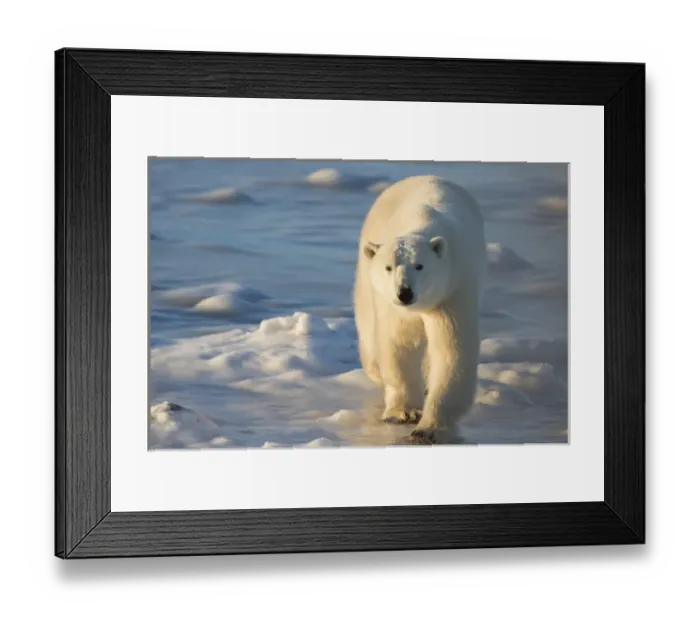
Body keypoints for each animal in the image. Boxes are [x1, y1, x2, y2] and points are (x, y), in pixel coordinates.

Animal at [352, 175, 487, 445]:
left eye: (420, 266)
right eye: (388, 267)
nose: (404, 293)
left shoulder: (453, 289)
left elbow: (451, 351)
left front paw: (429, 429)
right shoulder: (393, 308)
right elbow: (399, 343)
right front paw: (402, 412)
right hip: (365, 277)